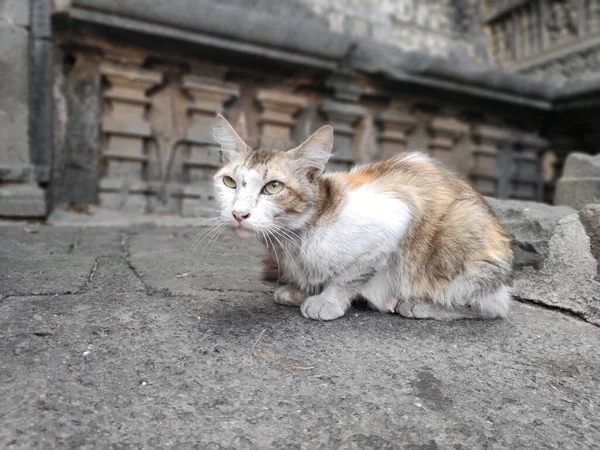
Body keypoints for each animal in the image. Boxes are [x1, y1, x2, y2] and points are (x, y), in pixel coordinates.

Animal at [211, 114, 510, 322]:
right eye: (229, 182)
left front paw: (327, 300)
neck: (294, 240)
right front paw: (300, 290)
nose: (239, 213)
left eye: (273, 186)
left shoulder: (394, 218)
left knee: (493, 308)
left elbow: (351, 275)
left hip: (461, 226)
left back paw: (421, 305)